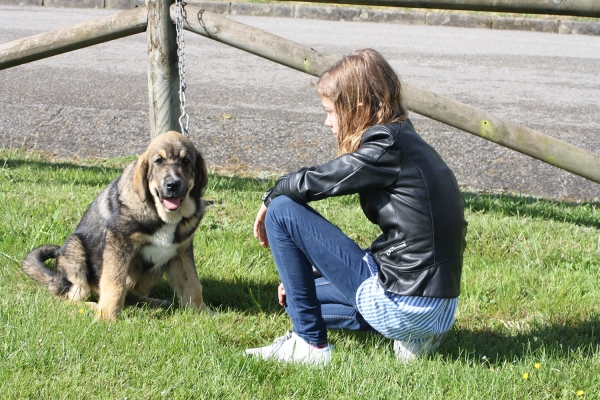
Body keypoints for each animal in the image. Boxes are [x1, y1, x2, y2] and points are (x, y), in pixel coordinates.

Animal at [22, 132, 210, 322]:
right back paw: (93, 306)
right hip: (76, 252)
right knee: (65, 298)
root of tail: (54, 279)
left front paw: (203, 313)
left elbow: (192, 284)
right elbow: (115, 284)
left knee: (132, 295)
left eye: (186, 161)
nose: (172, 185)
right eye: (158, 161)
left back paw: (153, 302)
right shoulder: (118, 245)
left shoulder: (181, 251)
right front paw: (108, 318)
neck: (162, 215)